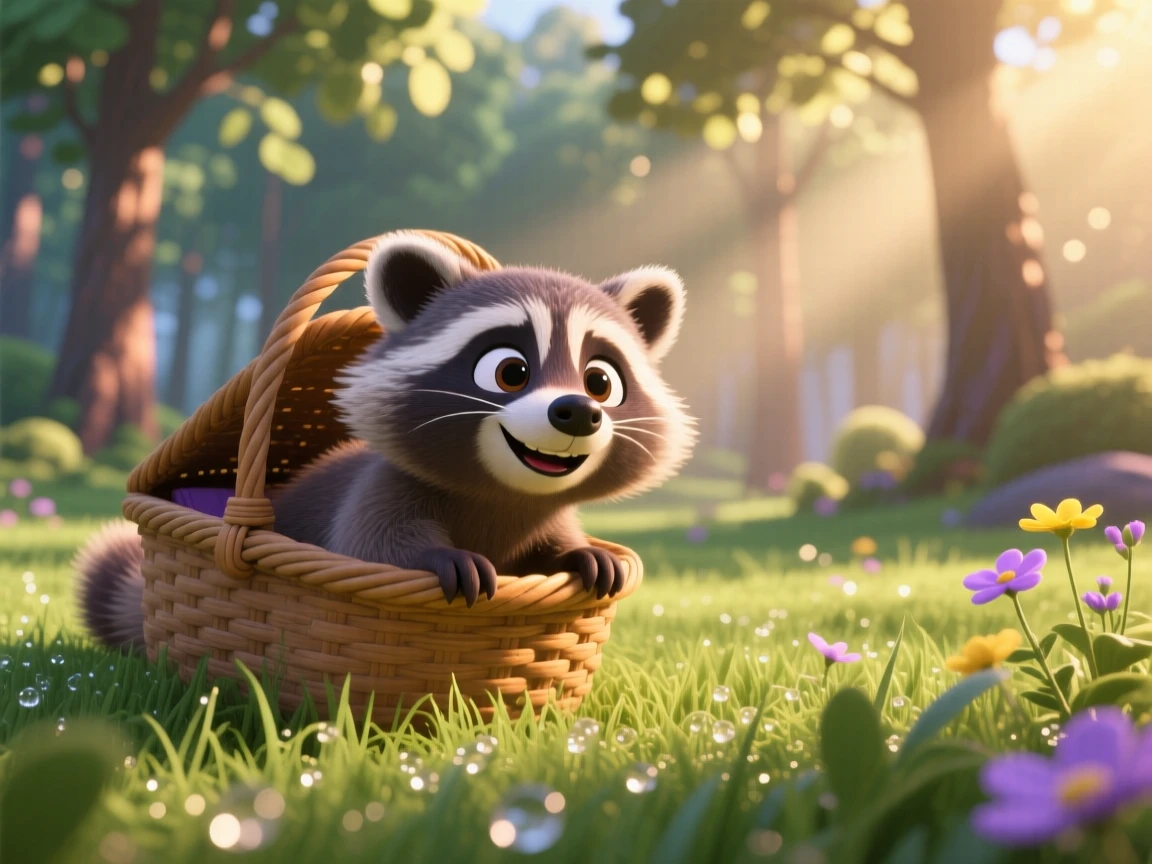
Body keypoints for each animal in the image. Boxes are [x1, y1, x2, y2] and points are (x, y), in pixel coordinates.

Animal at [77, 232, 695, 649]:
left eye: (601, 382)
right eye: (510, 371)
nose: (577, 413)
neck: (502, 493)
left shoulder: (539, 511)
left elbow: (557, 539)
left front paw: (582, 551)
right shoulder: (379, 489)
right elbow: (373, 544)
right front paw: (437, 556)